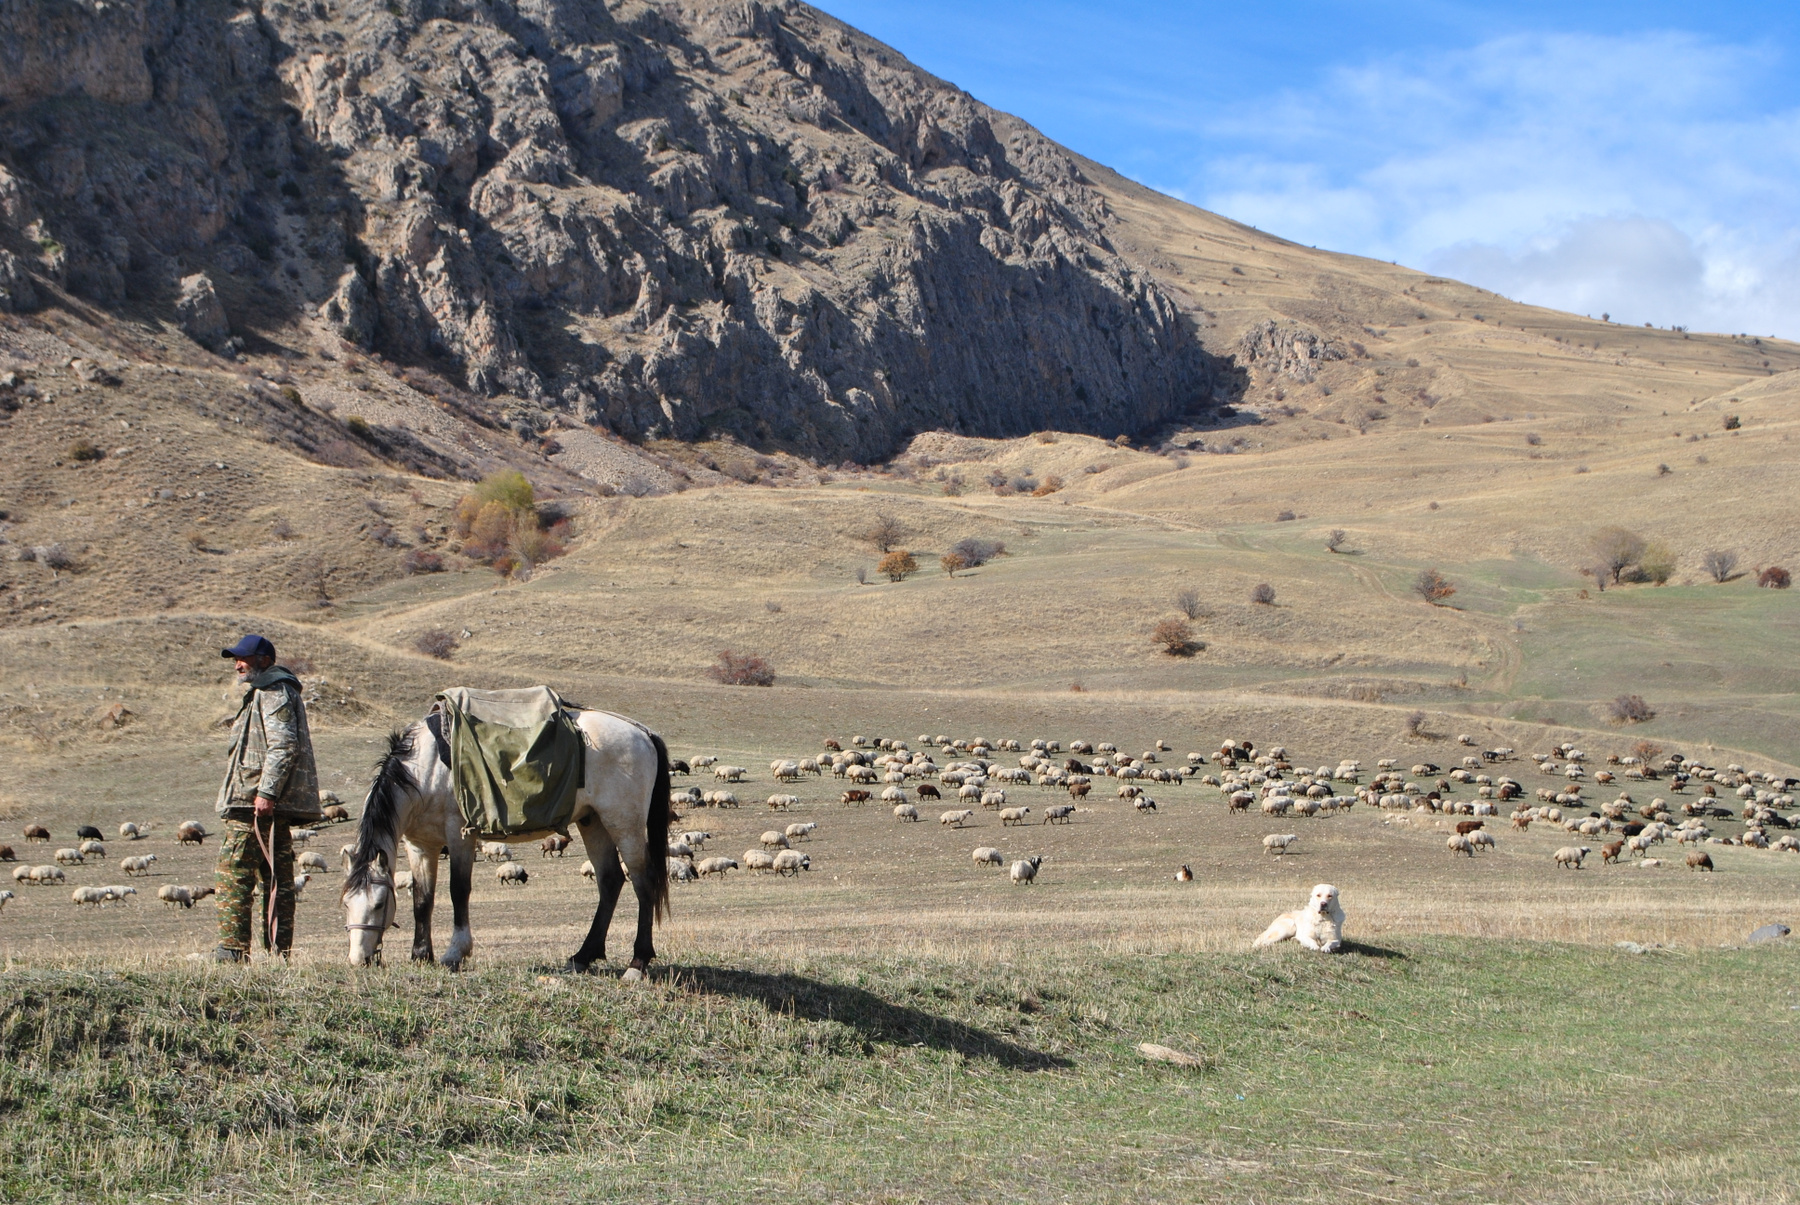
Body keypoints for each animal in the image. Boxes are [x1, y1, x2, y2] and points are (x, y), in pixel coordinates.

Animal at [340, 708, 672, 978]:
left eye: (379, 903)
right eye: (346, 903)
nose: (358, 959)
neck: (428, 768)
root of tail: (642, 732)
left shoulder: (460, 835)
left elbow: (458, 891)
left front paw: (454, 953)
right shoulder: (420, 845)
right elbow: (423, 899)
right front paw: (421, 955)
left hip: (623, 823)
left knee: (643, 882)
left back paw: (637, 963)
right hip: (593, 822)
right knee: (610, 881)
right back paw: (582, 957)